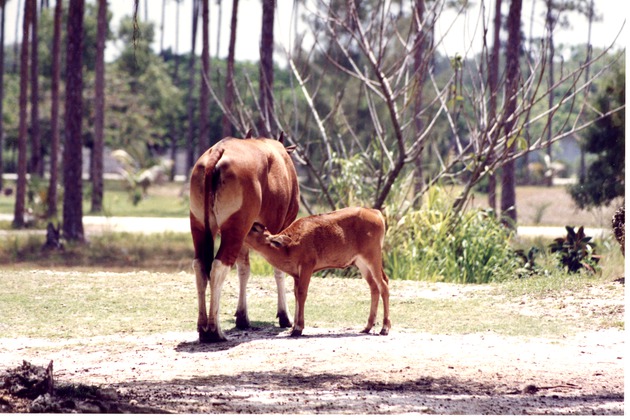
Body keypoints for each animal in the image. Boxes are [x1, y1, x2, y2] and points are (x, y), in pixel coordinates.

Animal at [190, 136, 302, 342]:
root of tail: (217, 152)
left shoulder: (247, 236)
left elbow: (244, 270)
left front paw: (242, 317)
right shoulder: (279, 227)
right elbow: (278, 269)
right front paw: (284, 316)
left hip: (200, 227)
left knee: (200, 266)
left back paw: (203, 328)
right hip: (234, 230)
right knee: (218, 266)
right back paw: (215, 330)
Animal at [246, 207, 390, 338]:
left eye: (255, 229)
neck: (289, 246)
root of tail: (375, 212)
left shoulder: (307, 266)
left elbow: (302, 293)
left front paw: (298, 328)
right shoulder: (296, 275)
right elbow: (296, 294)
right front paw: (294, 327)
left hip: (372, 258)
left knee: (383, 285)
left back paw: (384, 328)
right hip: (362, 263)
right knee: (374, 287)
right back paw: (367, 327)